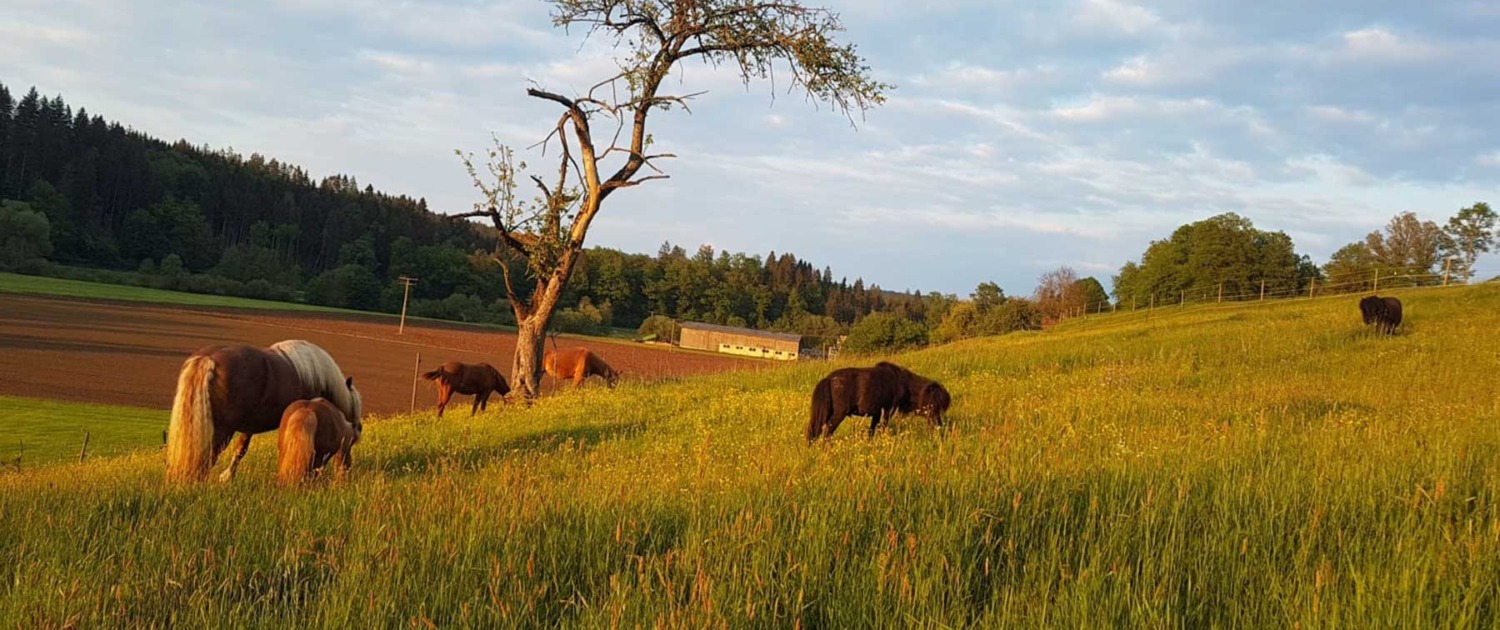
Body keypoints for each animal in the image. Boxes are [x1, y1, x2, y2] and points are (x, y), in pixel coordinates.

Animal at [165, 339, 361, 483]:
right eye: (350, 441)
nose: (346, 471)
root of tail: (207, 359)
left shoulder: (249, 425)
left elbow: (241, 448)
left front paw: (227, 477)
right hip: (221, 430)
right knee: (208, 455)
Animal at [810, 360, 948, 444]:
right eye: (933, 404)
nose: (939, 425)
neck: (902, 382)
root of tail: (829, 379)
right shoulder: (888, 411)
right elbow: (882, 428)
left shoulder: (876, 413)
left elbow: (872, 431)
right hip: (839, 414)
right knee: (827, 431)